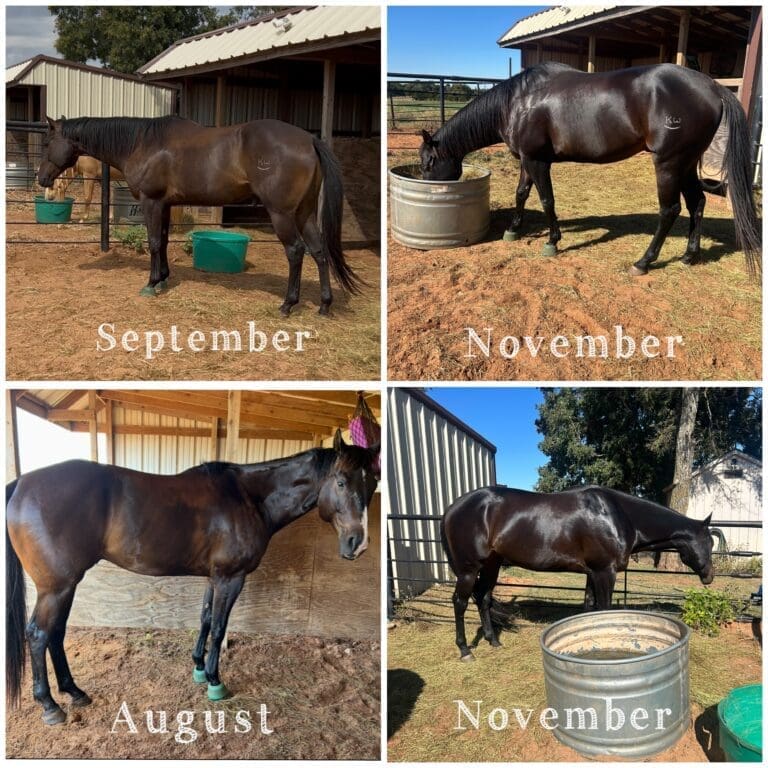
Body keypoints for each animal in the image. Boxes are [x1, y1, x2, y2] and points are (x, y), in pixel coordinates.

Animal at [6, 431, 379, 725]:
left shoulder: (213, 577)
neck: (249, 497)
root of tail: (21, 483)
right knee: (39, 634)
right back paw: (50, 706)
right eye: (341, 482)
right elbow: (219, 628)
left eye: (373, 483)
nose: (358, 544)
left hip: (65, 587)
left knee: (55, 634)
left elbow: (204, 618)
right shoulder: (231, 578)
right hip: (56, 588)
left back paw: (75, 692)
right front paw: (215, 682)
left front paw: (198, 668)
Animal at [37, 116, 362, 313]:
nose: (41, 178)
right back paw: (324, 305)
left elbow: (153, 243)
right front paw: (164, 278)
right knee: (319, 252)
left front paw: (151, 284)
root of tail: (309, 140)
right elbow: (164, 242)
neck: (141, 143)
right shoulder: (165, 205)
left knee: (296, 251)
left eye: (47, 144)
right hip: (304, 213)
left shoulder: (151, 202)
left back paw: (288, 304)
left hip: (282, 214)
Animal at [420, 63, 761, 277]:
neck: (518, 102)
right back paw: (690, 256)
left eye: (428, 164)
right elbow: (521, 194)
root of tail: (713, 88)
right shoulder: (527, 160)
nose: (429, 191)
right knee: (697, 203)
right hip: (687, 163)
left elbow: (546, 200)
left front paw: (552, 242)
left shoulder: (537, 161)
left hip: (669, 163)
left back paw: (643, 262)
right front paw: (513, 230)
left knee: (670, 210)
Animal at [440, 485, 713, 661]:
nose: (709, 576)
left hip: (492, 565)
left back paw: (493, 640)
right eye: (707, 542)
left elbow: (589, 609)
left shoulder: (592, 573)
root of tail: (453, 507)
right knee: (460, 602)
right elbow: (604, 610)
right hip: (468, 569)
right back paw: (465, 650)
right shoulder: (605, 572)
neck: (618, 516)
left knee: (483, 598)